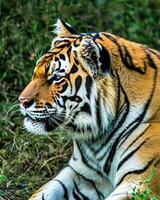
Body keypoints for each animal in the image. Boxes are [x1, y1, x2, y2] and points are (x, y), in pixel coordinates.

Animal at [19, 18, 160, 198]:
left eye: (56, 77)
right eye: (35, 72)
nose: (22, 101)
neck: (99, 137)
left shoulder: (141, 180)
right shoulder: (80, 174)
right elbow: (42, 192)